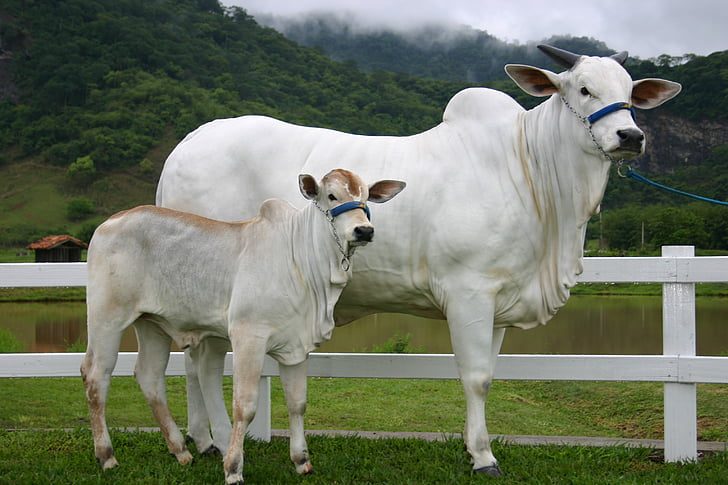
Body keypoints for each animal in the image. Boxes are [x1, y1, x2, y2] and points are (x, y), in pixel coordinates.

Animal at [155, 45, 684, 472]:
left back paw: (204, 440)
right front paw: (484, 457)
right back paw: (214, 441)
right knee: (204, 363)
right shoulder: (469, 292)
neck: (531, 170)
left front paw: (473, 447)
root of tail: (188, 144)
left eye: (630, 94)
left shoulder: (500, 300)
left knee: (197, 362)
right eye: (583, 88)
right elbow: (475, 378)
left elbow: (488, 374)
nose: (629, 136)